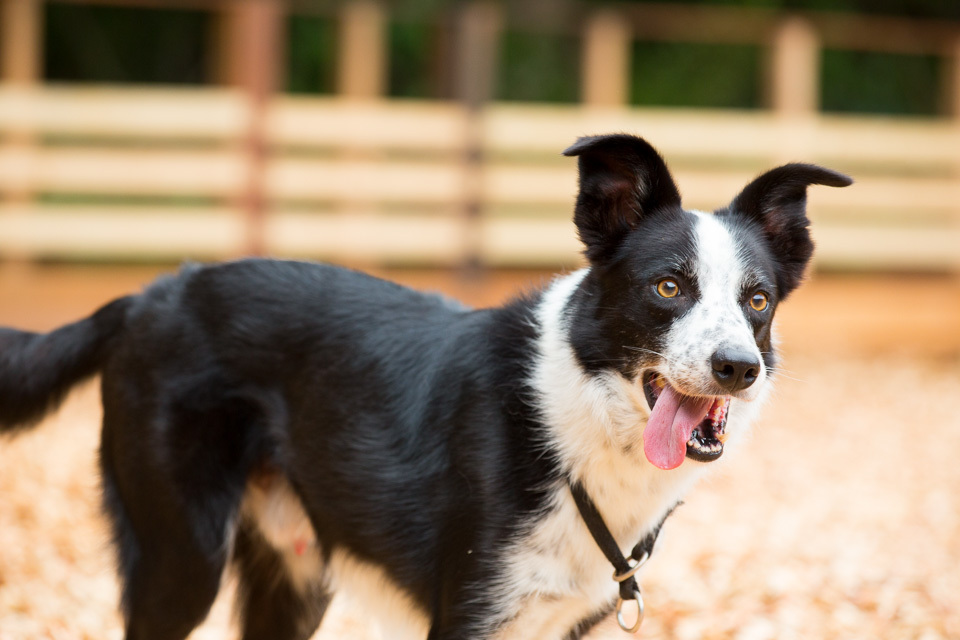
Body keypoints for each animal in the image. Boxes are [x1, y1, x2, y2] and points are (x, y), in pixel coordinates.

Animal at [0, 132, 856, 636]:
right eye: (669, 287)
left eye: (757, 301)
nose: (738, 368)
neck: (572, 427)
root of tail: (147, 295)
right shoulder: (468, 616)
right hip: (181, 558)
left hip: (292, 578)